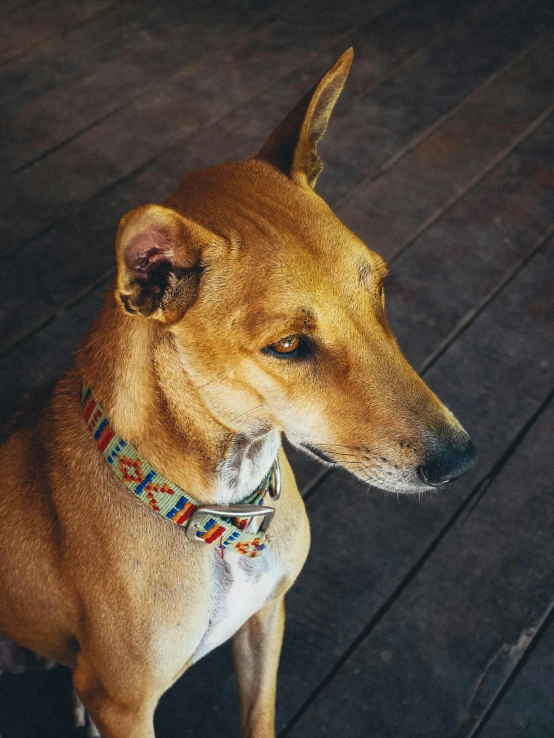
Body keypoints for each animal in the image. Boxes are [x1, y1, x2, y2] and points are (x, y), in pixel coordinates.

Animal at [0, 49, 474, 732]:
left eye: (380, 289)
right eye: (288, 346)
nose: (460, 460)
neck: (221, 508)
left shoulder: (266, 617)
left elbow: (260, 716)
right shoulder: (127, 705)